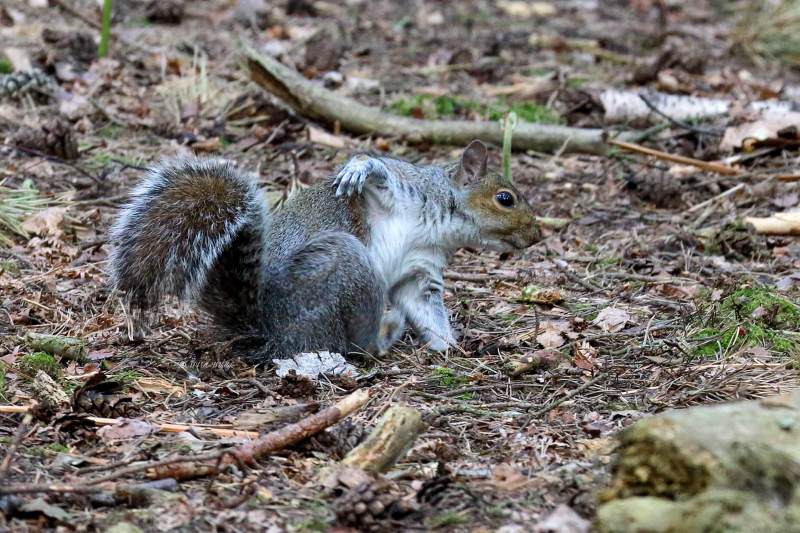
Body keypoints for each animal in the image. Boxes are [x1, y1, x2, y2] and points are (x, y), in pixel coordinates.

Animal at [109, 140, 541, 360]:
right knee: (358, 346)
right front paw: (361, 166)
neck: (437, 224)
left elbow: (426, 308)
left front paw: (449, 346)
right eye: (505, 199)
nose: (536, 235)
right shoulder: (400, 192)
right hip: (348, 263)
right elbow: (378, 174)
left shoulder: (419, 270)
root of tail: (266, 328)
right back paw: (385, 333)